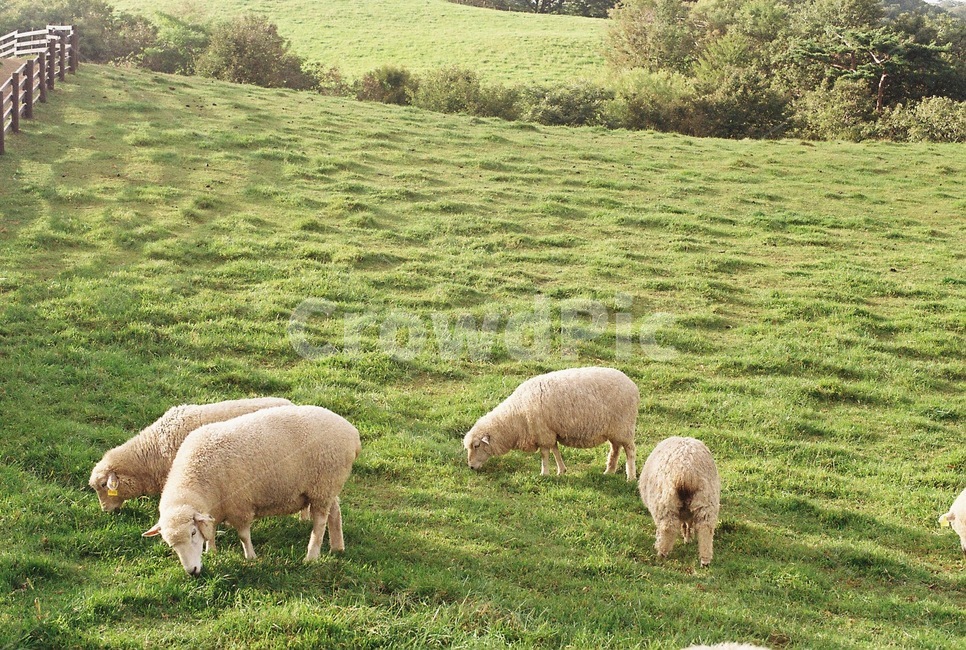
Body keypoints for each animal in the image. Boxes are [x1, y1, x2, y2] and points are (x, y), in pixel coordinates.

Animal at [142, 404, 360, 576]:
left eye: (193, 533)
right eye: (171, 545)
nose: (192, 572)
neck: (196, 477)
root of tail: (353, 433)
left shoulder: (240, 505)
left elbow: (243, 536)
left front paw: (251, 557)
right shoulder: (215, 508)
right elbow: (211, 532)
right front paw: (211, 551)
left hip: (323, 484)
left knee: (320, 523)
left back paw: (311, 556)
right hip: (326, 487)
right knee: (335, 511)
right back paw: (337, 548)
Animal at [463, 366, 639, 480]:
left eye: (477, 445)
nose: (470, 467)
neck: (516, 416)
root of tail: (633, 386)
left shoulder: (543, 433)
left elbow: (545, 454)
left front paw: (544, 473)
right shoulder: (550, 431)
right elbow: (555, 451)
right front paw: (561, 471)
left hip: (625, 427)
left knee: (630, 451)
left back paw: (630, 477)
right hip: (615, 430)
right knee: (615, 449)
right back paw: (609, 471)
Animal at [639, 436, 720, 567]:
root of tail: (686, 471)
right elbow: (688, 524)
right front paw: (687, 538)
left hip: (666, 502)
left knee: (668, 527)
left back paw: (661, 553)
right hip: (706, 499)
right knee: (705, 528)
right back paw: (705, 560)